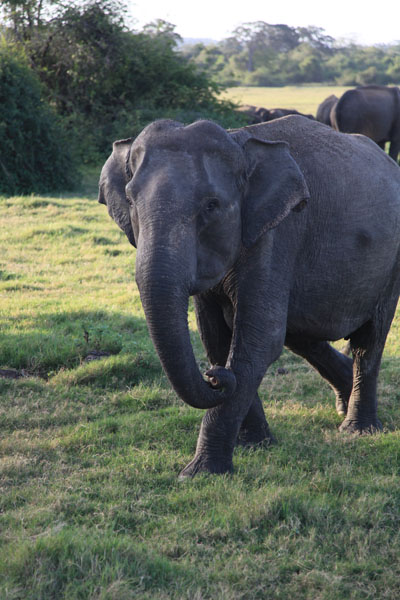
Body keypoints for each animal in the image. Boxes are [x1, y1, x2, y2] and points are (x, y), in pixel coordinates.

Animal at [98, 113, 400, 478]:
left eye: (211, 205)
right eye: (130, 201)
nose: (213, 377)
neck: (238, 141)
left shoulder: (277, 233)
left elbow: (257, 339)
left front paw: (199, 473)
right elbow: (216, 338)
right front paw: (254, 444)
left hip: (391, 264)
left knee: (369, 339)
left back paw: (359, 429)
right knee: (300, 332)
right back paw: (343, 400)